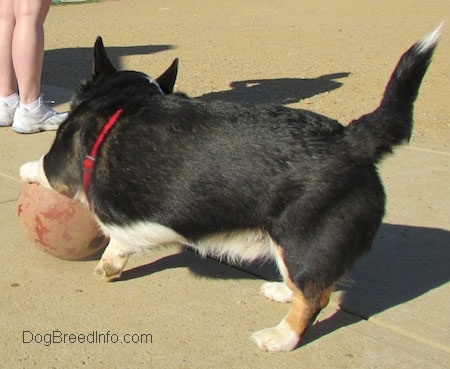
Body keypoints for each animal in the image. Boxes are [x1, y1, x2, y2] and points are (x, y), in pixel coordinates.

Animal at [22, 25, 442, 350]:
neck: (122, 98)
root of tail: (352, 140)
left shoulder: (59, 168)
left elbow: (40, 168)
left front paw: (24, 168)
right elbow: (119, 246)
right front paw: (110, 265)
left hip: (299, 237)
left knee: (313, 297)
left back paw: (280, 338)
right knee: (308, 283)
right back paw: (281, 290)